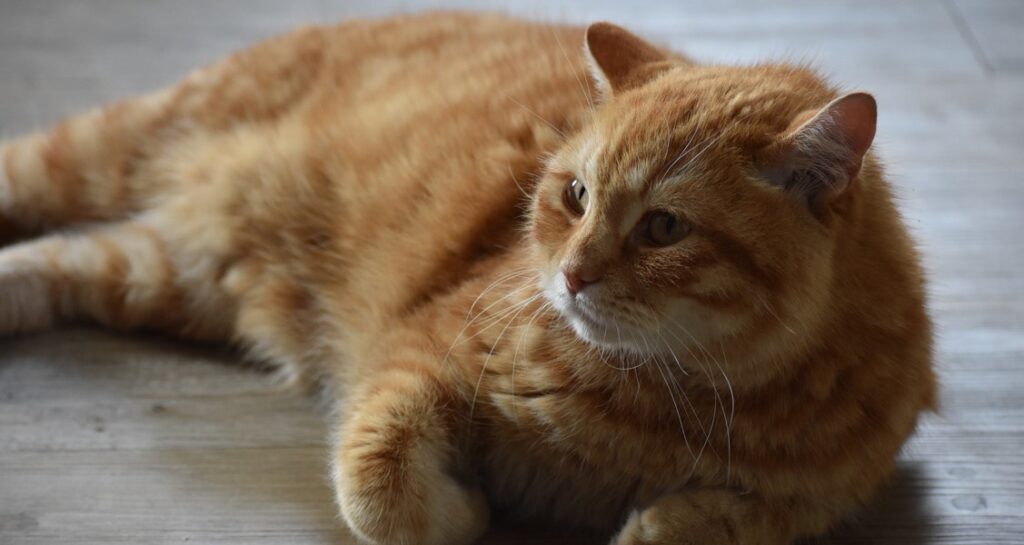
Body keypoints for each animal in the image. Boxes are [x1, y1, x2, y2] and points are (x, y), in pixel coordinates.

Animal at [0, 11, 937, 545]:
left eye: (664, 227)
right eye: (576, 195)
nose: (570, 275)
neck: (659, 401)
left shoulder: (829, 492)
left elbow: (736, 518)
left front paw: (667, 520)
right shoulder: (417, 357)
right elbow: (379, 489)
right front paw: (469, 512)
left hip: (162, 271)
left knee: (49, 261)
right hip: (108, 152)